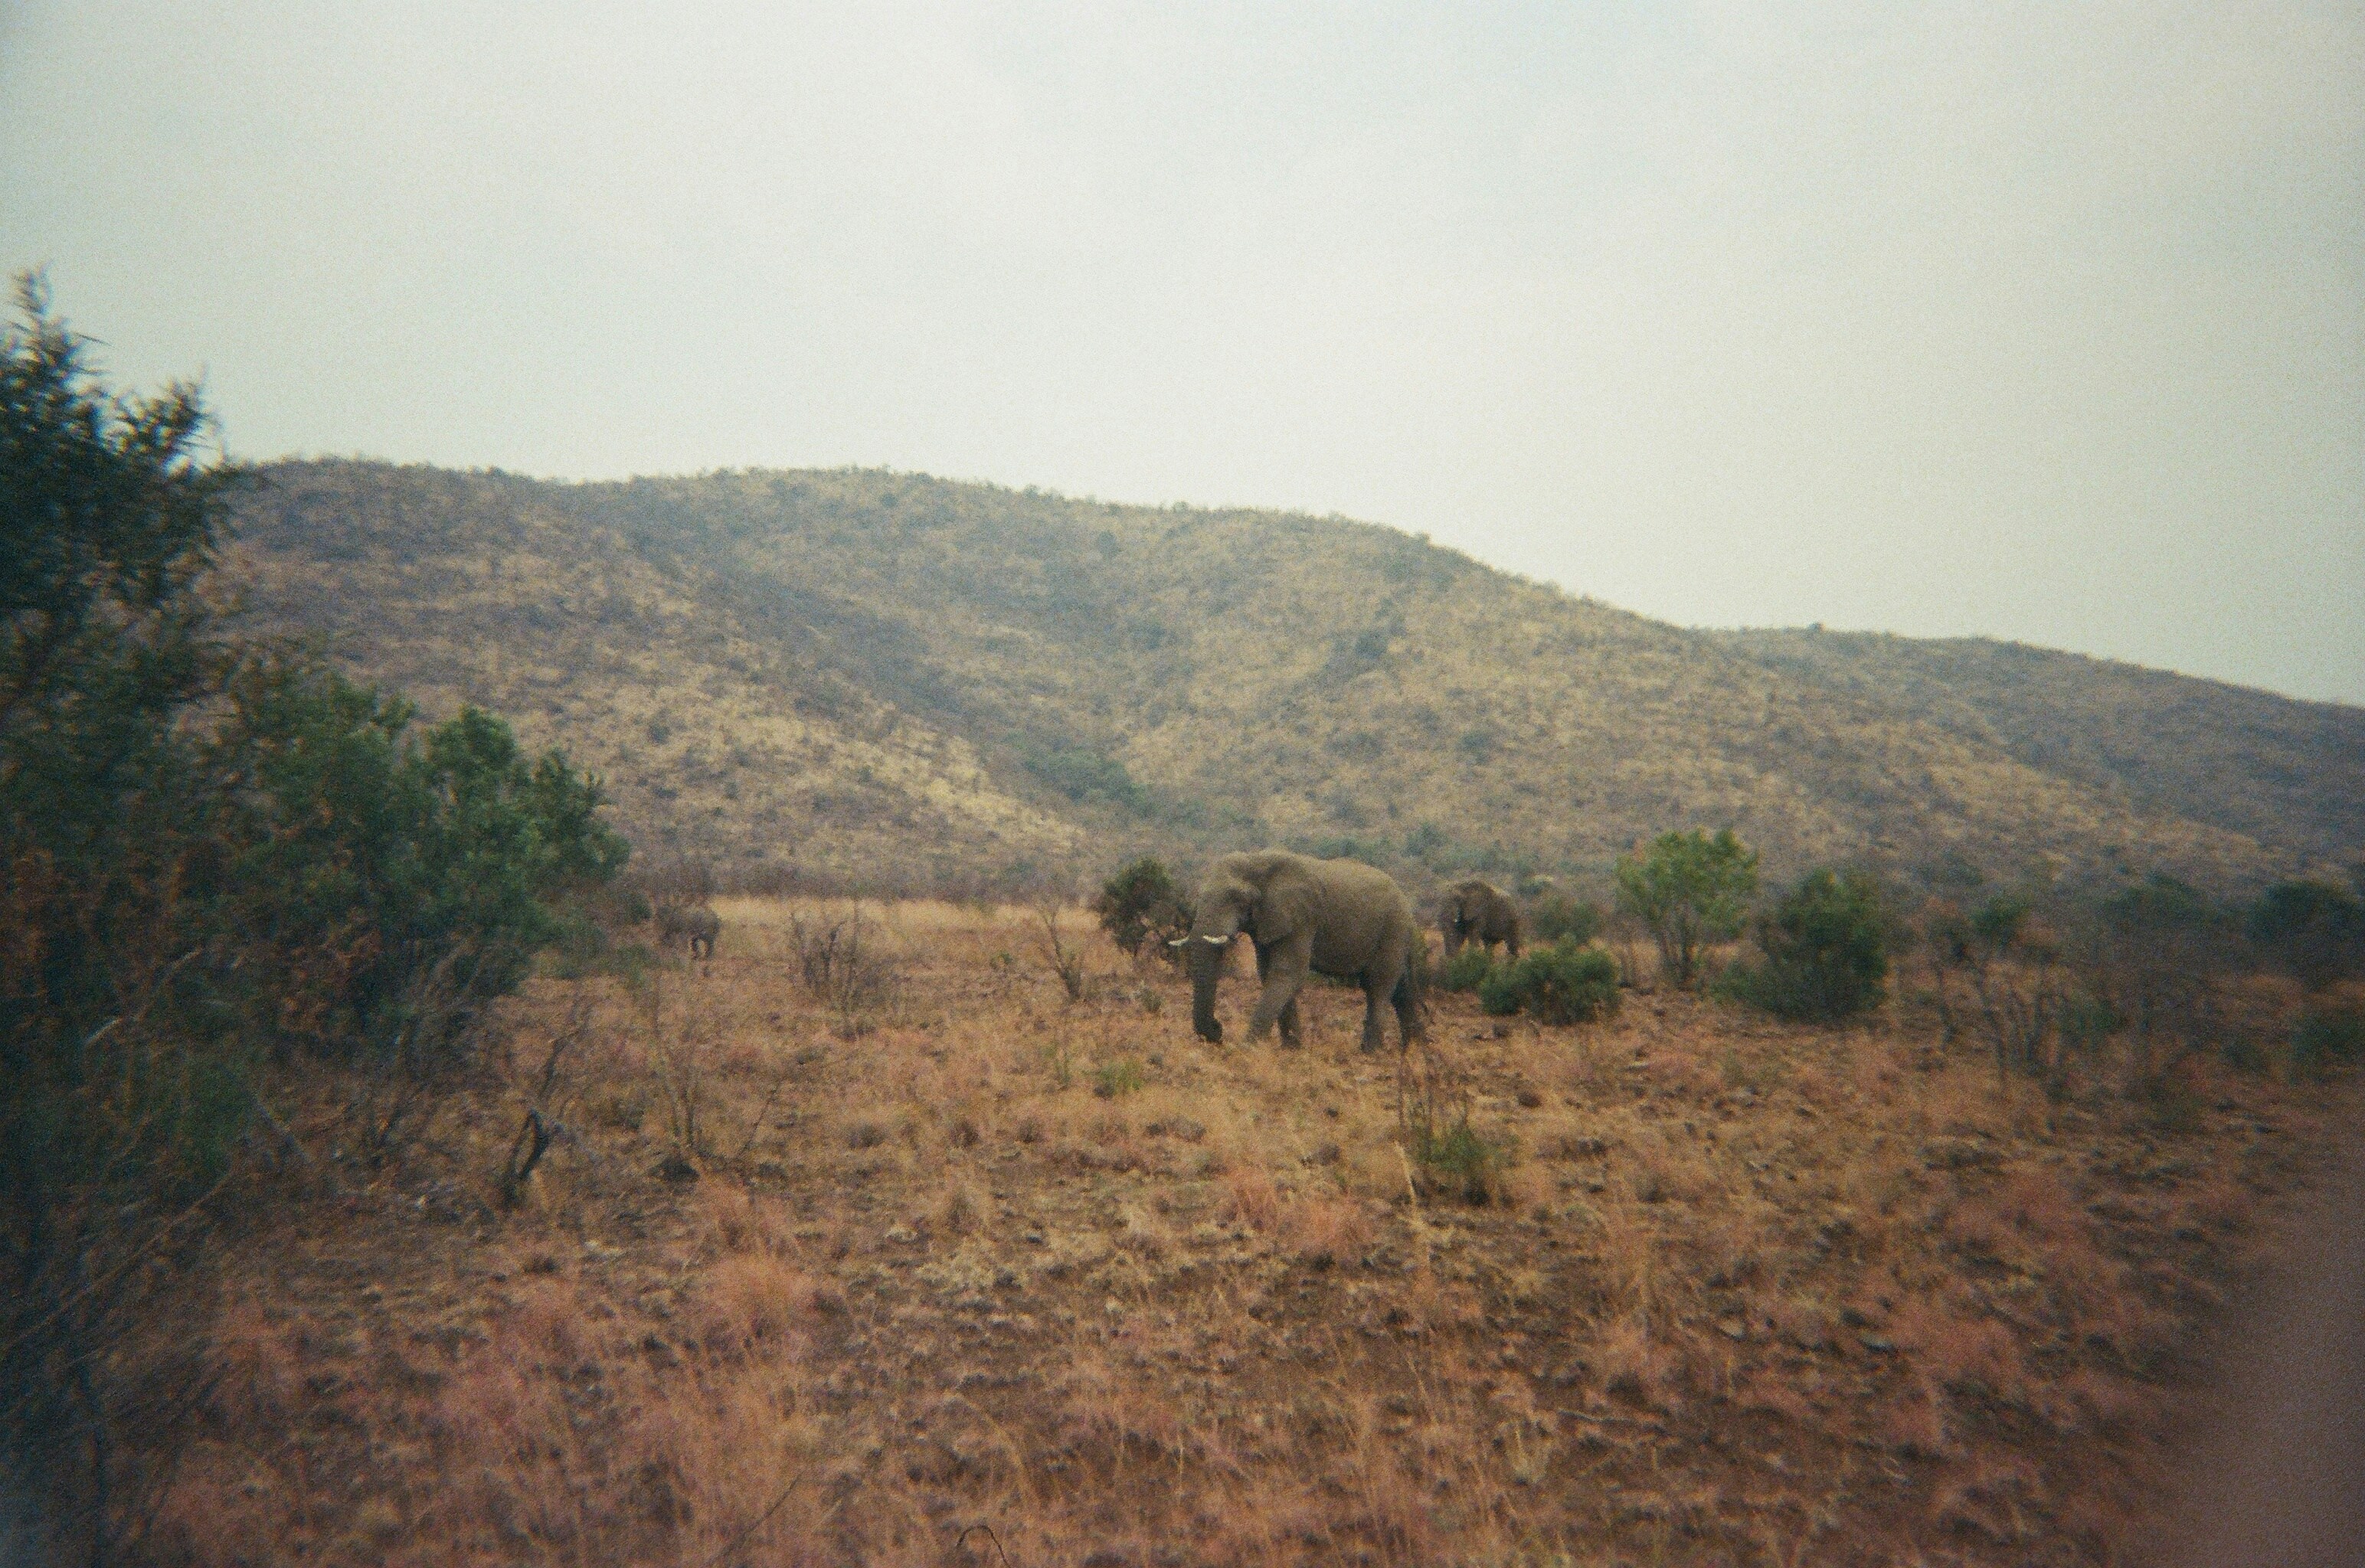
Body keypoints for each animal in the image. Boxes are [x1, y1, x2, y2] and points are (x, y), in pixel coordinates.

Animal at [1172, 851, 1424, 1053]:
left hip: (1393, 928)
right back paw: (1413, 1053)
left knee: (1378, 987)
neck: (1257, 860)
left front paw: (1246, 1049)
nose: (1218, 1029)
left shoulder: (1302, 917)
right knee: (1402, 991)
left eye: (1239, 899)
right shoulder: (1270, 921)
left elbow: (1287, 972)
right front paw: (1292, 1050)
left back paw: (1370, 1054)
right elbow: (1269, 973)